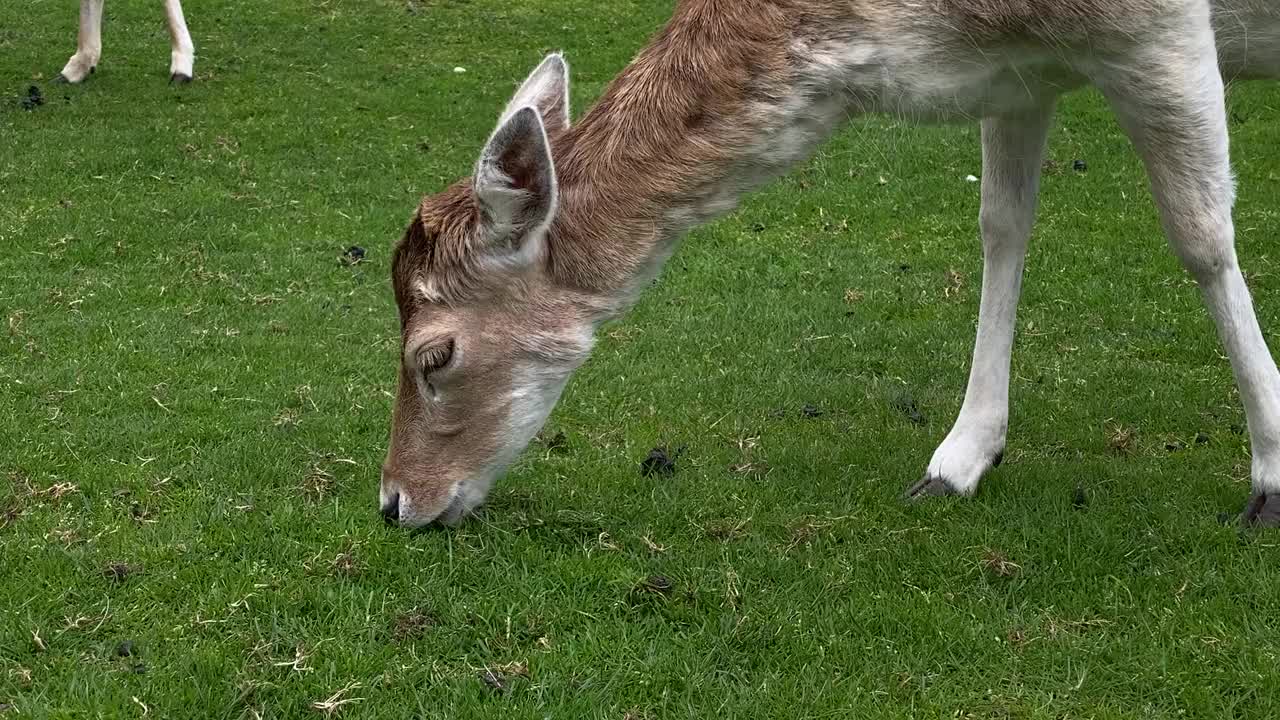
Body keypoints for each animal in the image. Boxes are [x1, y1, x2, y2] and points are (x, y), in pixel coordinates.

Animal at [378, 0, 1280, 527]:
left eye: (434, 355)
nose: (393, 501)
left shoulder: (1159, 29)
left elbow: (1201, 237)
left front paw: (1270, 476)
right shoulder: (1023, 71)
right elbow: (1002, 227)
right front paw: (959, 459)